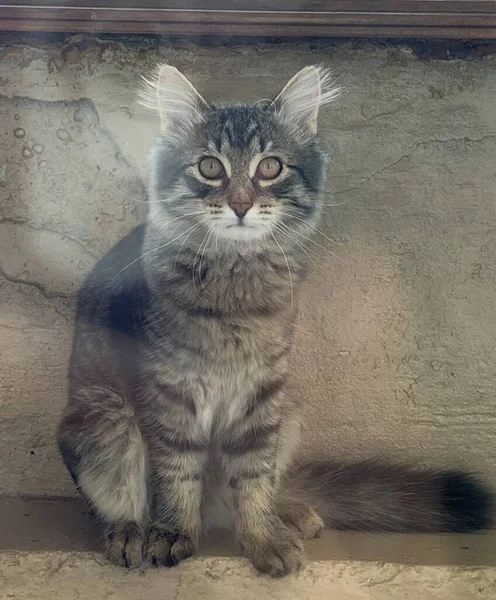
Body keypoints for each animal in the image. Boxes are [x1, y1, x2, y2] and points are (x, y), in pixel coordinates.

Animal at [58, 65, 492, 576]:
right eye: (210, 167)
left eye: (270, 168)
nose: (241, 204)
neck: (236, 278)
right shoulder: (167, 393)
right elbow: (175, 476)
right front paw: (173, 534)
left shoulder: (262, 392)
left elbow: (254, 478)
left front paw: (263, 538)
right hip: (105, 418)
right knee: (116, 502)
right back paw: (129, 532)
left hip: (289, 412)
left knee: (253, 492)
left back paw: (289, 513)